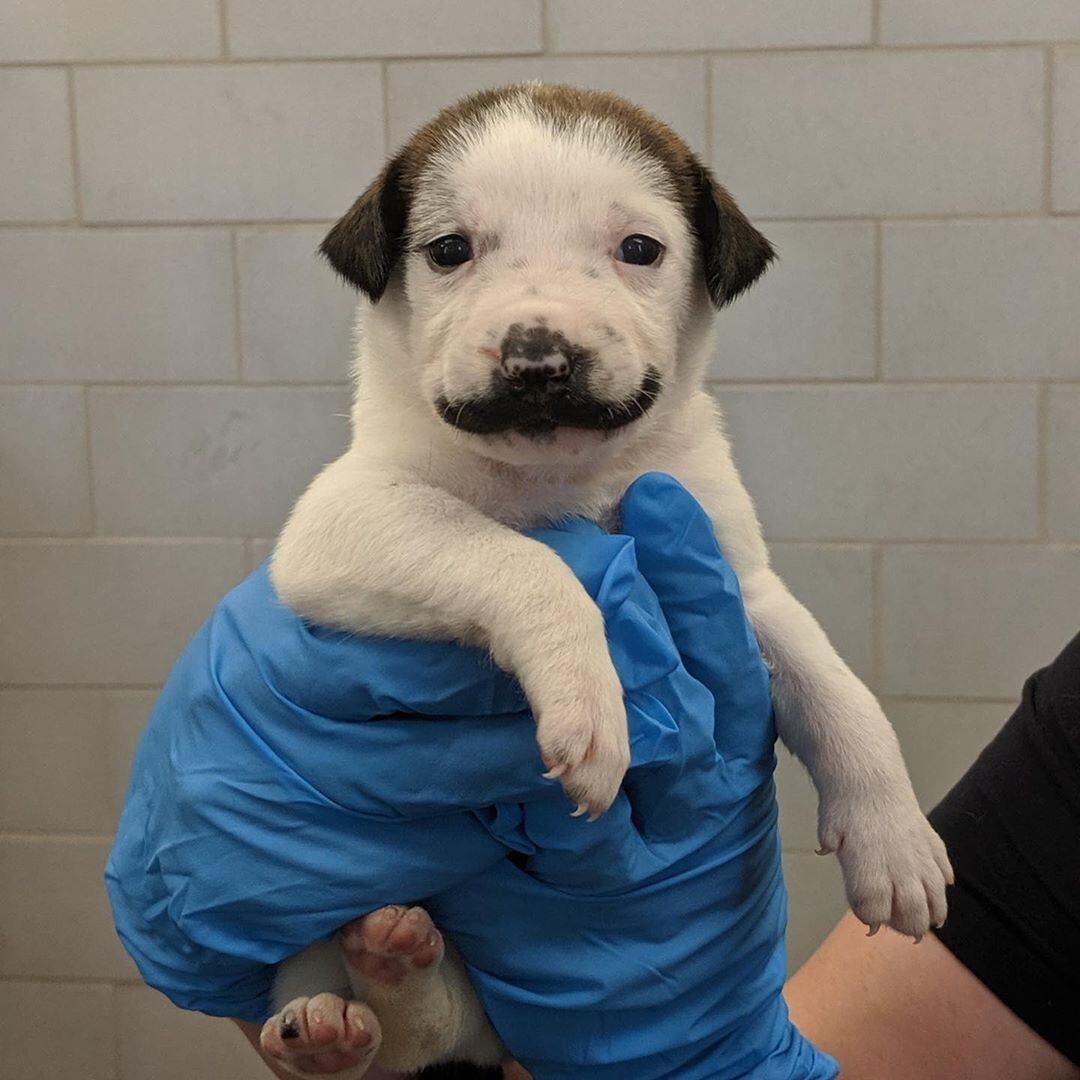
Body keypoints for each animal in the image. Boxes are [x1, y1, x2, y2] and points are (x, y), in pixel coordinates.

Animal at [258, 83, 953, 1078]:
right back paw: (327, 1020)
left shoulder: (737, 579)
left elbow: (836, 689)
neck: (562, 476)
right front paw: (589, 700)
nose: (537, 358)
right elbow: (521, 558)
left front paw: (894, 836)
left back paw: (393, 969)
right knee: (380, 1028)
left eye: (639, 249)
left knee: (432, 1021)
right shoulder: (343, 522)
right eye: (449, 250)